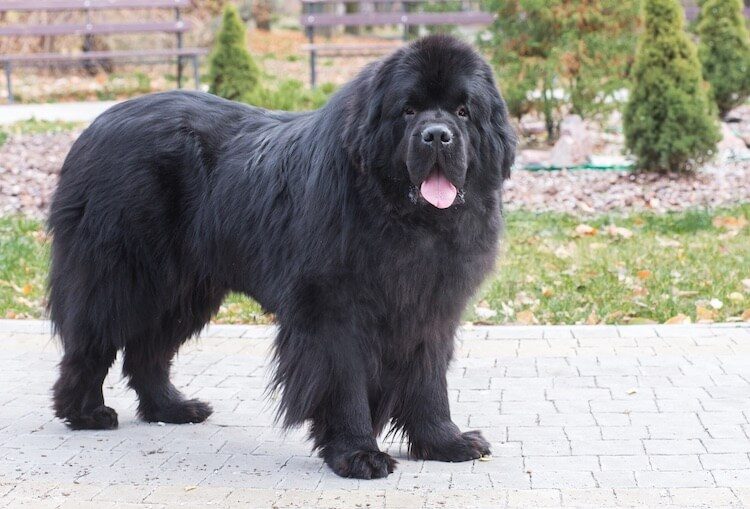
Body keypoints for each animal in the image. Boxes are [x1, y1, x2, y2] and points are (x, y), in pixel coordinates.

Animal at [48, 33, 516, 478]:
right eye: (408, 110)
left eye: (463, 112)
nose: (436, 134)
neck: (404, 216)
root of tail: (94, 126)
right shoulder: (333, 311)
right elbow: (345, 383)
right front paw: (357, 454)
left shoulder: (430, 309)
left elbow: (428, 380)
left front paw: (445, 442)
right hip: (121, 275)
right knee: (91, 341)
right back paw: (86, 412)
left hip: (184, 290)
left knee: (148, 351)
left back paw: (172, 408)